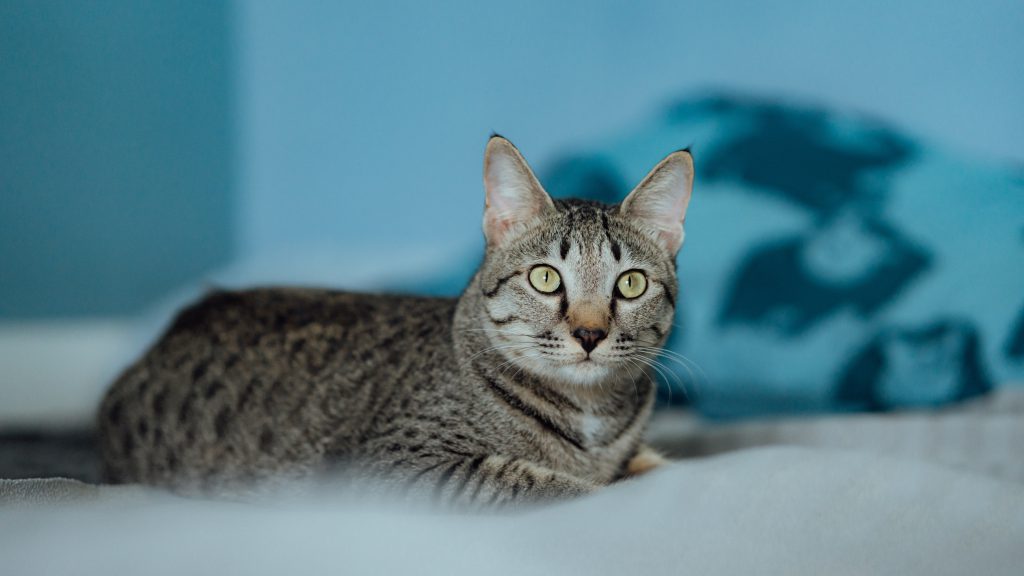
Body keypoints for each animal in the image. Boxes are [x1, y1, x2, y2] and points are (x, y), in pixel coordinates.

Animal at [97, 136, 696, 504]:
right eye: (546, 278)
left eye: (631, 283)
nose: (590, 333)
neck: (591, 419)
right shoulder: (395, 468)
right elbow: (549, 486)